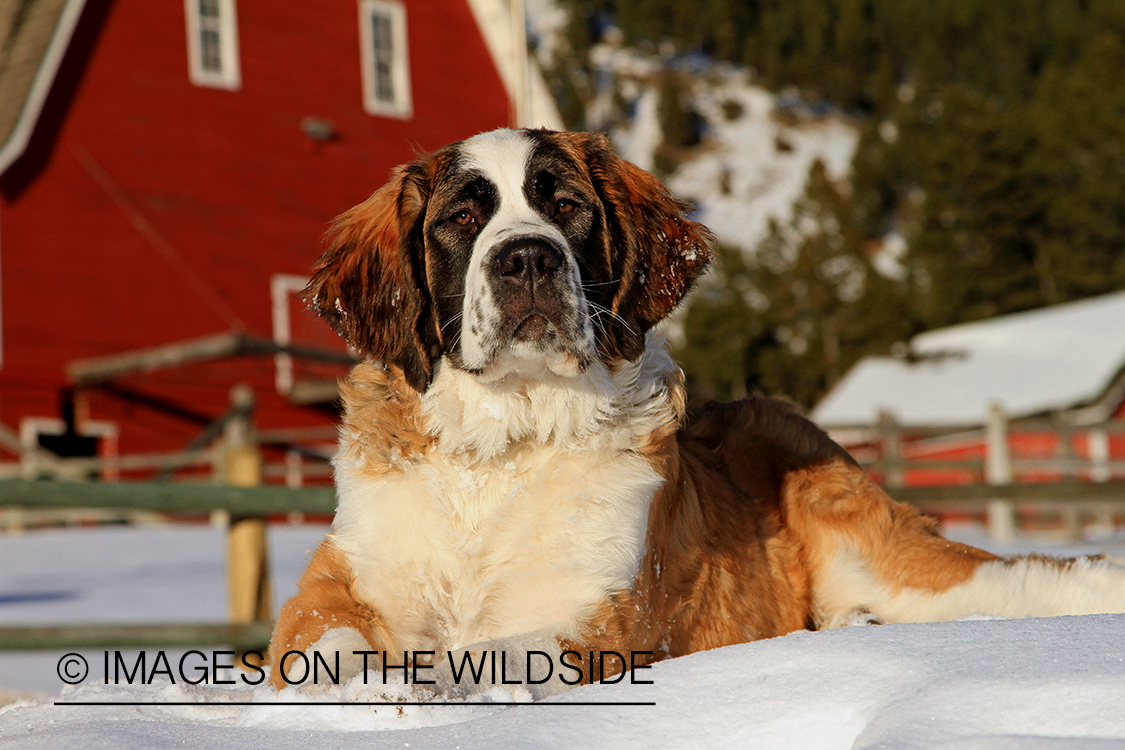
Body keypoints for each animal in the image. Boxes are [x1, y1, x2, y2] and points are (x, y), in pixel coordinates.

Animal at [265, 127, 1125, 692]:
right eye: (459, 220)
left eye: (566, 206)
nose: (528, 258)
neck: (502, 445)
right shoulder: (335, 583)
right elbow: (326, 639)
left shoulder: (596, 619)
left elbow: (504, 652)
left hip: (887, 557)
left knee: (1013, 584)